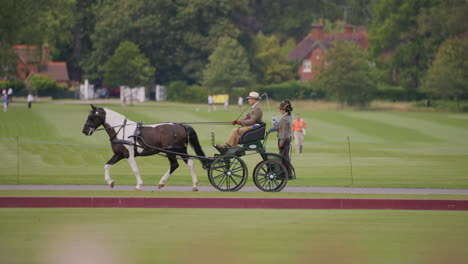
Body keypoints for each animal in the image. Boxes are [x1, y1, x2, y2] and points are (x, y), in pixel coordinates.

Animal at [81, 104, 209, 192]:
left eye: (91, 117)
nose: (84, 131)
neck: (121, 131)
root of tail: (181, 126)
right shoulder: (119, 154)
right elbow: (107, 165)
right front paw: (110, 182)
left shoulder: (129, 154)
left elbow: (135, 169)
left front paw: (138, 185)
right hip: (181, 150)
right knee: (190, 163)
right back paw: (194, 185)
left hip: (169, 150)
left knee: (174, 165)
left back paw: (162, 182)